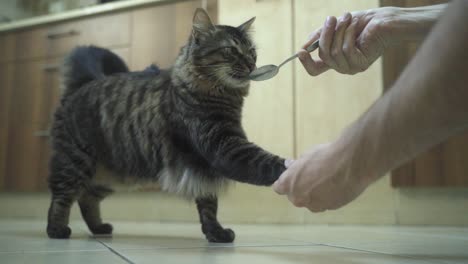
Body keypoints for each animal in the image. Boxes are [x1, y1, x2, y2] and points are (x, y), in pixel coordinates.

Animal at [47, 8, 286, 243]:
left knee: (87, 198)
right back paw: (57, 230)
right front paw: (289, 169)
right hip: (75, 163)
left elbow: (209, 206)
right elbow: (266, 163)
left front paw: (215, 232)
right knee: (61, 198)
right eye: (231, 50)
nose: (251, 64)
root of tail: (85, 83)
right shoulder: (223, 146)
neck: (222, 96)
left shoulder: (204, 167)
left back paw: (98, 228)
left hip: (113, 173)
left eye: (252, 51)